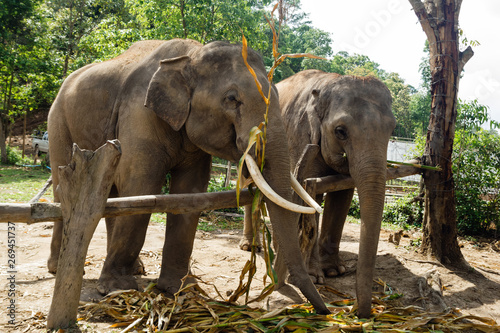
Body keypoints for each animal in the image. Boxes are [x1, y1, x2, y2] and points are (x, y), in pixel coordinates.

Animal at [46, 39, 328, 314]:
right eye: (232, 99)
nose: (323, 311)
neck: (192, 53)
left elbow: (190, 195)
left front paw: (181, 289)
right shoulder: (139, 114)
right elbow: (140, 185)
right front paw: (119, 289)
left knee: (111, 196)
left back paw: (137, 268)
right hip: (58, 123)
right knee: (63, 188)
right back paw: (60, 268)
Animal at [240, 68, 396, 316]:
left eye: (392, 129)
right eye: (340, 131)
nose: (358, 311)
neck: (328, 82)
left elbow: (342, 195)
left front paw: (333, 271)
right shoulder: (300, 139)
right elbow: (309, 195)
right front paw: (315, 276)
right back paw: (250, 246)